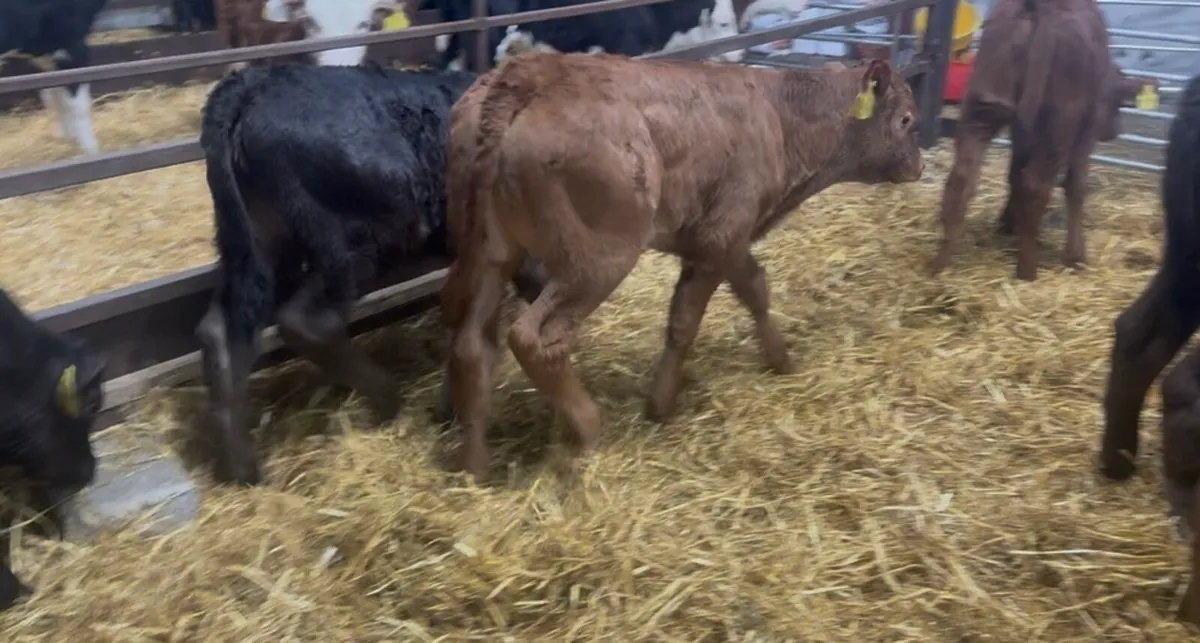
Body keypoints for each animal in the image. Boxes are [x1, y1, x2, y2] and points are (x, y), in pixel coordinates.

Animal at [0, 0, 107, 155]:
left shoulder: (46, 54)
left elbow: (54, 97)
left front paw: (67, 138)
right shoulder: (72, 46)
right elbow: (77, 104)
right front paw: (91, 149)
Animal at [195, 64, 545, 485]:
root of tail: (251, 85)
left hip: (258, 245)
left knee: (222, 332)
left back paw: (241, 469)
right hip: (353, 242)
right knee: (307, 321)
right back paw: (385, 394)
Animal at [438, 53, 924, 482]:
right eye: (906, 120)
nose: (919, 166)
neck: (781, 115)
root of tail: (526, 73)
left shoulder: (722, 239)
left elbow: (754, 288)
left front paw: (782, 359)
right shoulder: (721, 236)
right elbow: (686, 320)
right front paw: (661, 404)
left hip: (492, 254)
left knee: (472, 345)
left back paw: (473, 467)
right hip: (597, 261)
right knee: (536, 338)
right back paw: (591, 429)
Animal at [928, 0, 1158, 281]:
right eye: (1117, 103)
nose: (1114, 130)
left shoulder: (1021, 131)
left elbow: (1014, 174)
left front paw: (1007, 225)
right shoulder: (1086, 131)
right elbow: (1076, 186)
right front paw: (1076, 257)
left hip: (983, 107)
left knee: (961, 181)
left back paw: (941, 267)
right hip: (1058, 124)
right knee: (1036, 186)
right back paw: (1028, 271)